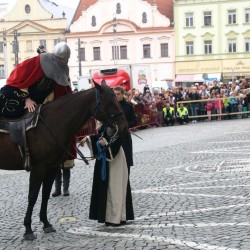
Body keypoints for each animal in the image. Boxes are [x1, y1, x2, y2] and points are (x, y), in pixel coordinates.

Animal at [0, 81, 128, 239]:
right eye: (109, 102)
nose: (124, 127)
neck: (50, 123)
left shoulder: (51, 167)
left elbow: (45, 194)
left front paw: (46, 223)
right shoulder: (39, 169)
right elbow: (33, 196)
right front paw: (28, 229)